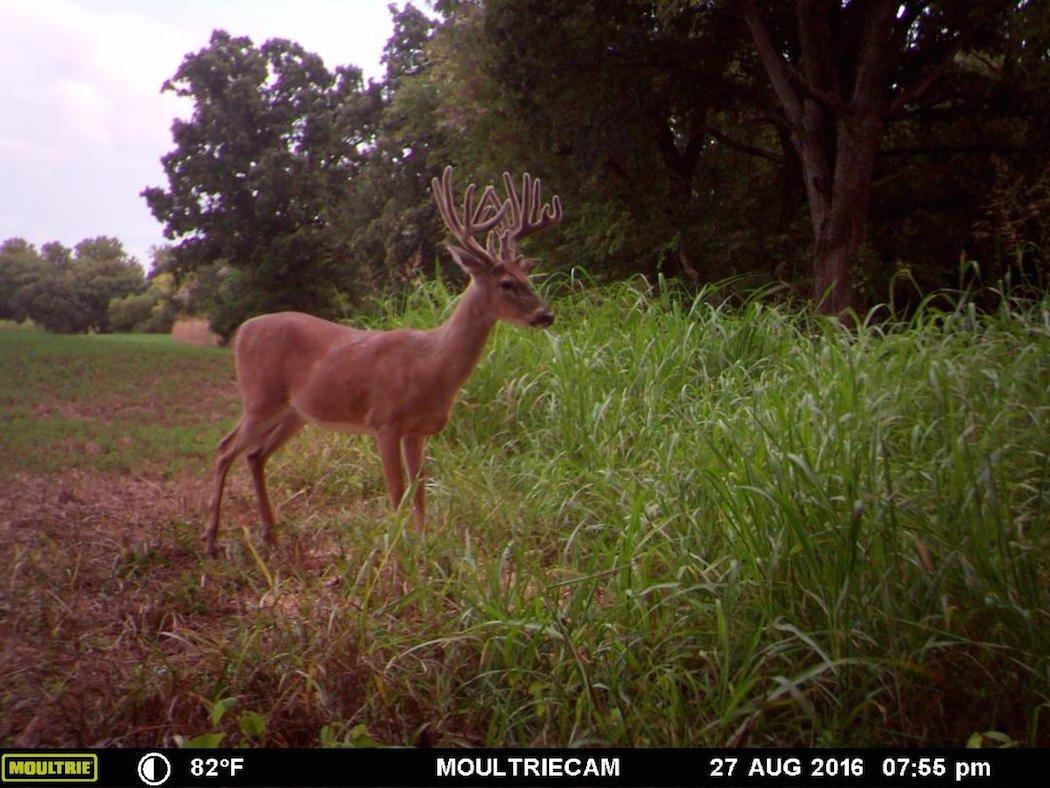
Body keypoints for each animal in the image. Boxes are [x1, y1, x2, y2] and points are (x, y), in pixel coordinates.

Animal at [204, 166, 563, 555]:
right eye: (506, 283)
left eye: (527, 277)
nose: (546, 314)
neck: (432, 365)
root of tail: (243, 330)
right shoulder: (385, 421)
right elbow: (397, 492)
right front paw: (400, 552)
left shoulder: (417, 430)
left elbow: (419, 491)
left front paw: (424, 547)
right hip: (260, 397)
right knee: (224, 449)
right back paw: (211, 539)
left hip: (295, 412)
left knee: (255, 454)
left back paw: (270, 534)